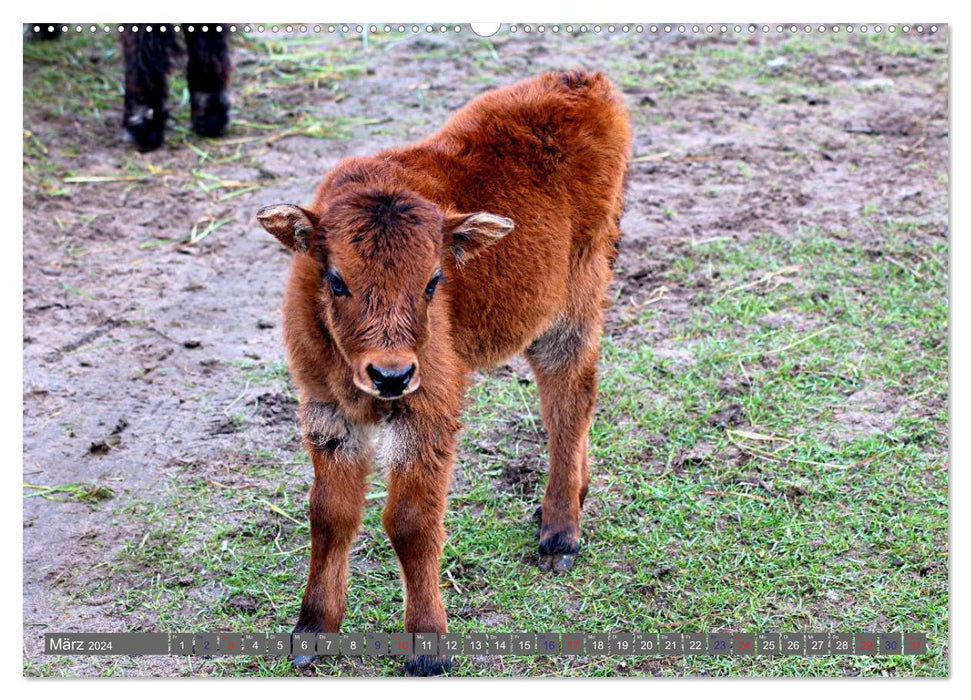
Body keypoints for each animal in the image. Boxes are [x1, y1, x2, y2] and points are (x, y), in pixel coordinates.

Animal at [256, 69, 632, 672]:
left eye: (434, 280)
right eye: (335, 280)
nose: (389, 376)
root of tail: (584, 83)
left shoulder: (427, 410)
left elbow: (409, 521)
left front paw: (428, 647)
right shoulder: (327, 412)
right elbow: (331, 513)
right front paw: (312, 631)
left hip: (571, 308)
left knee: (569, 399)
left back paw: (559, 534)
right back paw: (576, 495)